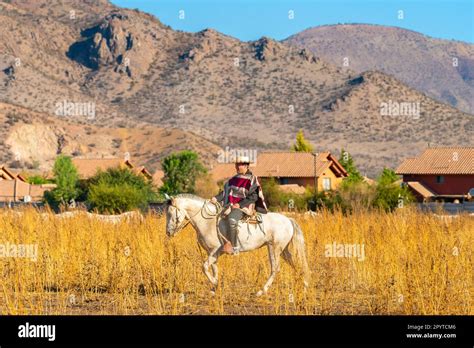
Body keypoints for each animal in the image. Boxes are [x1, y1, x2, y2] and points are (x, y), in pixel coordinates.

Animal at [164, 194, 312, 294]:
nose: (168, 232)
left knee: (275, 268)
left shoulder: (215, 251)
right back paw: (304, 285)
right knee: (294, 263)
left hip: (274, 248)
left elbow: (204, 267)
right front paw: (214, 288)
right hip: (283, 250)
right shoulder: (212, 253)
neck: (207, 221)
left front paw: (215, 283)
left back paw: (261, 291)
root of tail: (288, 219)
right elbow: (213, 268)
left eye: (172, 214)